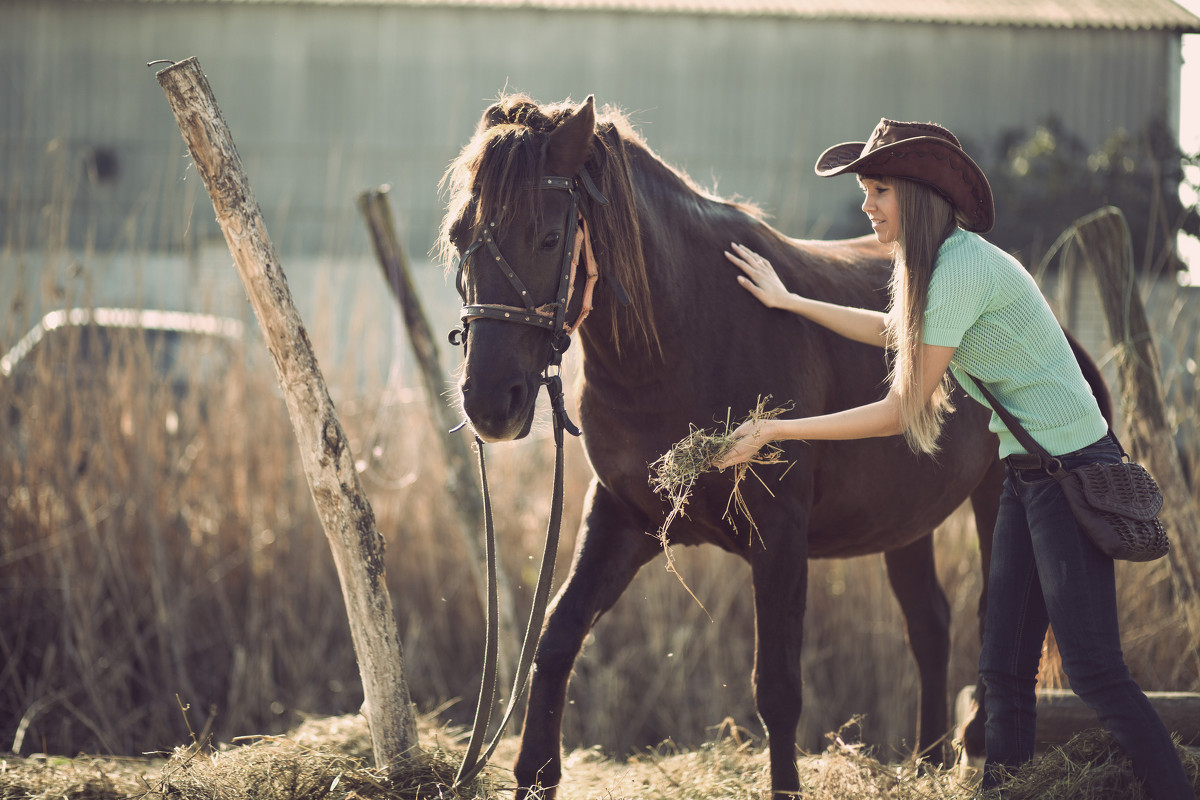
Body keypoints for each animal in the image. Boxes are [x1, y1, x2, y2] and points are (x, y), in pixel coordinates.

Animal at [436, 95, 1099, 800]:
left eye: (549, 238)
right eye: (458, 238)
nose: (489, 402)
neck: (682, 338)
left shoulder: (778, 535)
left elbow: (778, 687)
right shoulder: (622, 518)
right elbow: (556, 638)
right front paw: (534, 771)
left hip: (997, 500)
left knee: (989, 623)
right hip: (903, 521)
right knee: (930, 623)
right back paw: (927, 760)